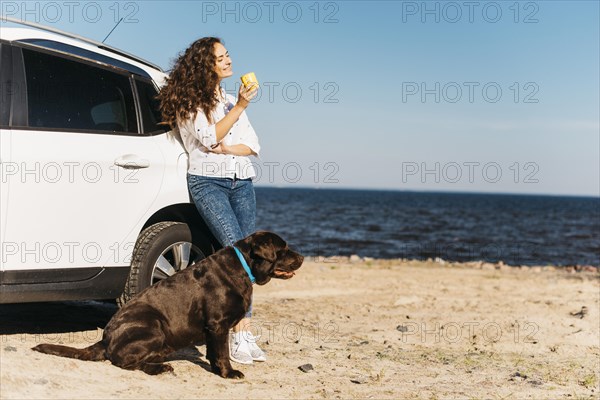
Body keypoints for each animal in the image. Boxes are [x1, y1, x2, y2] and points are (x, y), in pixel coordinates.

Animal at [31, 231, 304, 378]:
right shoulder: (218, 324)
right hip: (154, 324)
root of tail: (106, 338)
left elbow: (214, 353)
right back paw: (160, 367)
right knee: (122, 361)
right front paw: (228, 373)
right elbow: (222, 353)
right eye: (283, 248)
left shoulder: (214, 328)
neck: (243, 268)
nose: (302, 257)